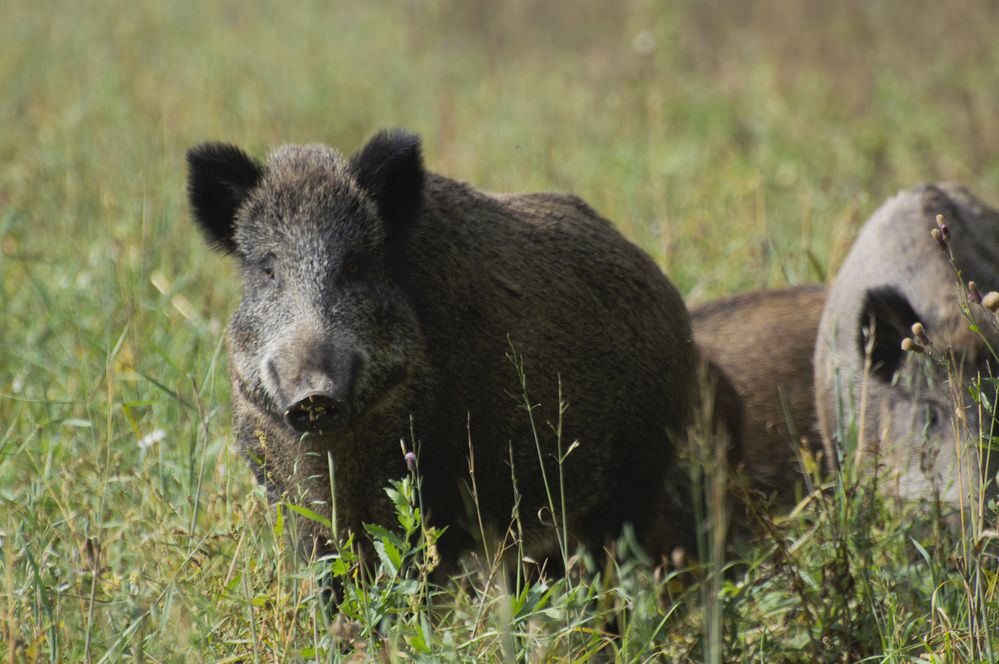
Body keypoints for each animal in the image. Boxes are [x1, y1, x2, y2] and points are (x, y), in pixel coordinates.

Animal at [185, 129, 697, 576]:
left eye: (354, 265)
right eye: (267, 269)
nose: (315, 394)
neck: (336, 450)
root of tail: (668, 294)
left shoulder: (436, 496)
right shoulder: (292, 500)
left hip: (633, 479)